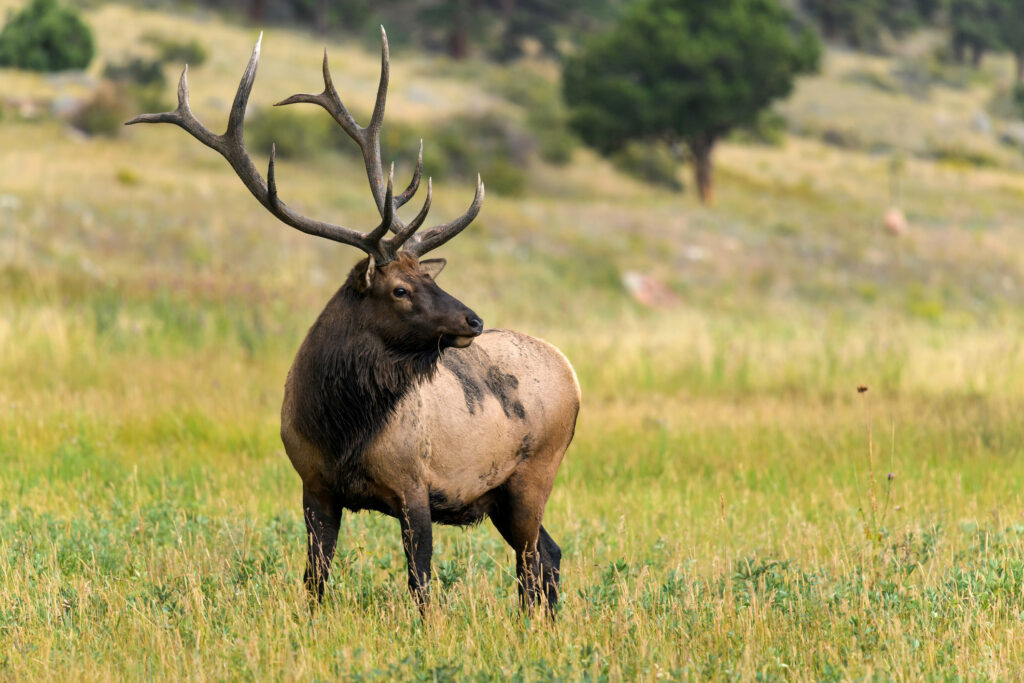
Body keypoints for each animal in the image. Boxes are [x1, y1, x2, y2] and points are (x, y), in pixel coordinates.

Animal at [125, 28, 577, 614]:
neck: (341, 429)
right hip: (503, 495)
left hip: (534, 476)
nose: (473, 321)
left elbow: (420, 583)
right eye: (401, 288)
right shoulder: (314, 485)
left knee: (535, 559)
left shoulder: (415, 487)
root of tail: (572, 373)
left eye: (428, 278)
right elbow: (315, 578)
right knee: (548, 554)